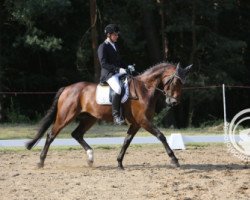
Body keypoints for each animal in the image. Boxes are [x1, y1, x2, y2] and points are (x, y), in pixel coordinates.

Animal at [26, 62, 191, 169]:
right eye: (175, 81)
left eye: (183, 83)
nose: (173, 102)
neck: (145, 89)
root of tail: (67, 88)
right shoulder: (143, 121)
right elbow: (161, 136)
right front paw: (174, 160)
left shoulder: (136, 123)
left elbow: (126, 141)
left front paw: (119, 163)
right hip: (65, 116)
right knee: (51, 135)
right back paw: (40, 162)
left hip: (89, 118)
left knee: (76, 134)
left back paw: (90, 157)